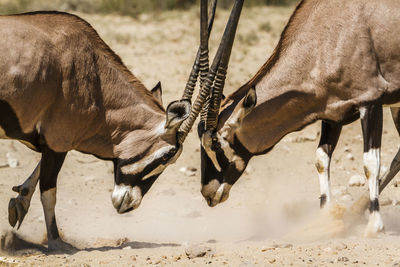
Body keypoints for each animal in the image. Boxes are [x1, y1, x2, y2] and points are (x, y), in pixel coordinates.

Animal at [0, 2, 225, 251]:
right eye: (167, 156)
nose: (128, 204)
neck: (96, 78)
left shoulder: (56, 140)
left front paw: (19, 202)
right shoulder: (59, 141)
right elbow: (49, 192)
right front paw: (56, 242)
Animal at [198, 0, 400, 239]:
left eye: (216, 143)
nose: (207, 192)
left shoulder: (370, 102)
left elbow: (370, 162)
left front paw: (374, 225)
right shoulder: (333, 115)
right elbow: (321, 159)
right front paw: (324, 220)